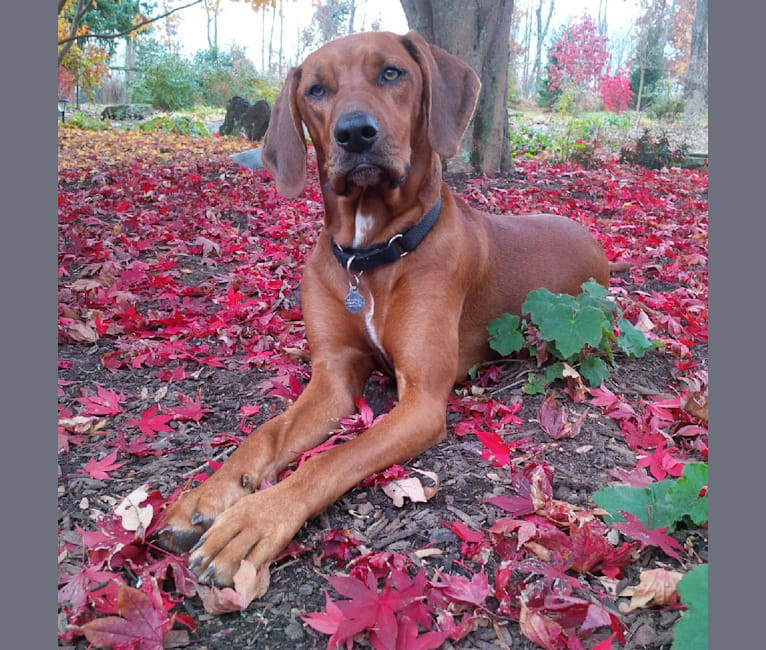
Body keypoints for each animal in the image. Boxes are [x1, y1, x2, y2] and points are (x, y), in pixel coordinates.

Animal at [158, 30, 612, 592]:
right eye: (315, 89)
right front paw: (207, 493)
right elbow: (266, 432)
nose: (355, 133)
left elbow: (332, 459)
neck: (371, 253)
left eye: (392, 73)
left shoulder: (420, 401)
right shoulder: (333, 376)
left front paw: (253, 520)